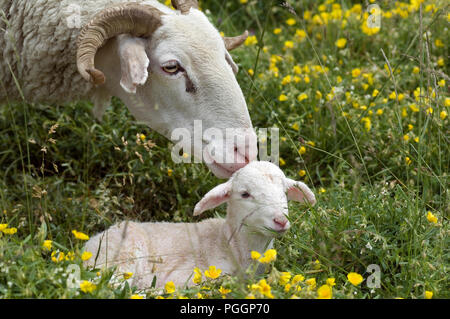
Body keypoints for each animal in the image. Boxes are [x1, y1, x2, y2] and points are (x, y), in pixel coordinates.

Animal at [84, 162, 316, 290]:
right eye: (245, 194)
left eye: (284, 191)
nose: (280, 220)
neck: (229, 244)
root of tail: (89, 245)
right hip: (121, 258)